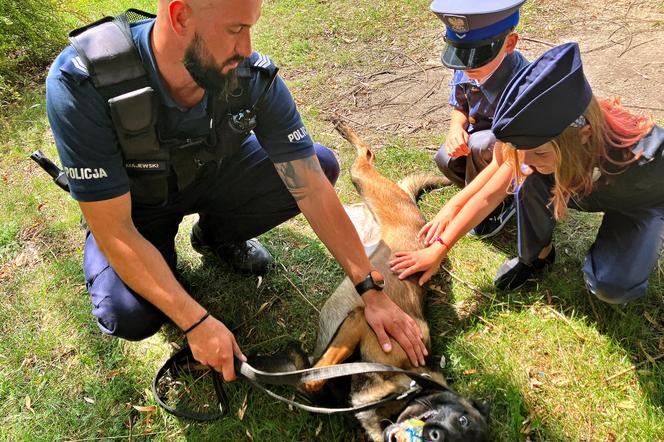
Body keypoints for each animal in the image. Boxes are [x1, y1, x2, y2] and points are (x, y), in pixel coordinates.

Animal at [266, 121, 492, 442]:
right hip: (364, 180)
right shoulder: (362, 320)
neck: (406, 384)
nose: (434, 435)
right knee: (366, 155)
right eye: (460, 419)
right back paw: (343, 127)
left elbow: (308, 378)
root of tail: (415, 210)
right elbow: (311, 377)